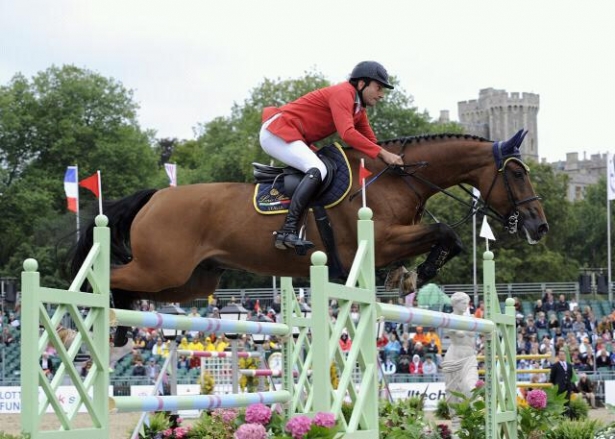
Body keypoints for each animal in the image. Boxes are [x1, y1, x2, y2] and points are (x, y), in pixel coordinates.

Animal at [71, 129, 548, 346]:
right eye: (517, 174)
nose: (539, 226)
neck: (400, 178)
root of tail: (155, 197)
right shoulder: (379, 241)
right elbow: (445, 232)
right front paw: (419, 272)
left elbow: (445, 239)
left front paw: (408, 276)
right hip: (162, 268)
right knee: (109, 276)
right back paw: (100, 321)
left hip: (190, 281)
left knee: (135, 287)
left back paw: (120, 327)